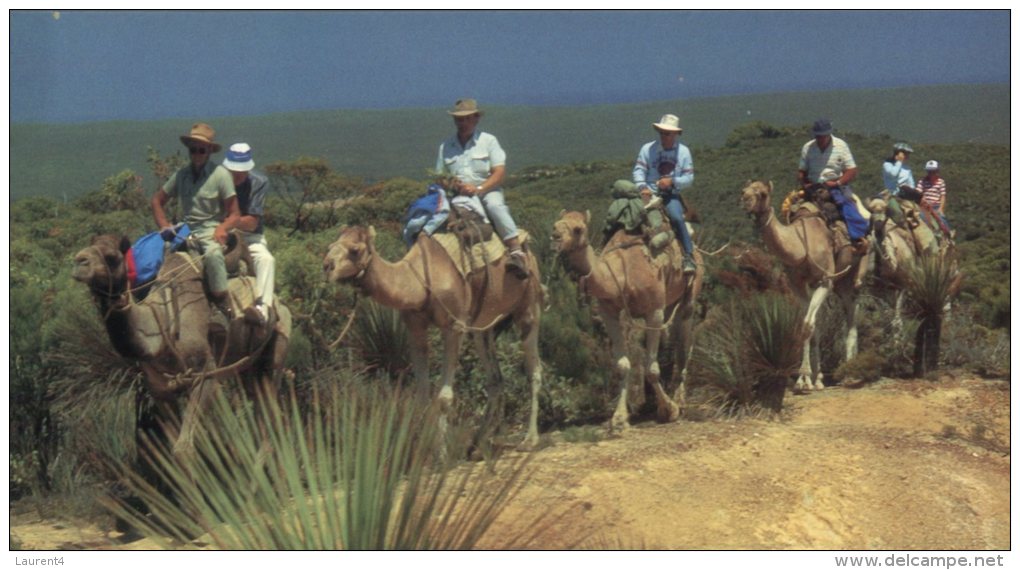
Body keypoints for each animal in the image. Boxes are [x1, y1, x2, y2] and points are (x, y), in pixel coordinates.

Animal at [72, 232, 289, 458]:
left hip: (278, 346)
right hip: (248, 367)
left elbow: (183, 448)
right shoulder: (159, 388)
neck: (164, 324)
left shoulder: (205, 373)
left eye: (112, 257)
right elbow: (171, 448)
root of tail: (279, 303)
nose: (79, 261)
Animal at [322, 225, 546, 448]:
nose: (326, 266)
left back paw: (530, 438)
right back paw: (477, 442)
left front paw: (441, 452)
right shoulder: (415, 328)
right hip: (482, 324)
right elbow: (422, 395)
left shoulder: (455, 326)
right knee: (495, 377)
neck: (420, 280)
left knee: (534, 369)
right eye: (330, 246)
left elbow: (444, 398)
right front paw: (423, 448)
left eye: (355, 250)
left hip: (528, 305)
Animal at [550, 212, 701, 430]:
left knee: (684, 344)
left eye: (578, 229)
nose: (554, 238)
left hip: (690, 295)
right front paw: (620, 418)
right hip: (670, 302)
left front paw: (669, 410)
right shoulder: (609, 313)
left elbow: (651, 368)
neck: (621, 273)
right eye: (554, 225)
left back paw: (680, 400)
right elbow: (622, 365)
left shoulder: (654, 311)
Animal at [738, 181, 864, 391]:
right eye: (743, 190)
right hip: (840, 283)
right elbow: (808, 325)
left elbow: (806, 325)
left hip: (853, 273)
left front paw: (804, 379)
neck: (800, 246)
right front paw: (814, 378)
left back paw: (849, 372)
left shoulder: (825, 280)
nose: (745, 201)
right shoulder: (797, 284)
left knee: (853, 314)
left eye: (763, 193)